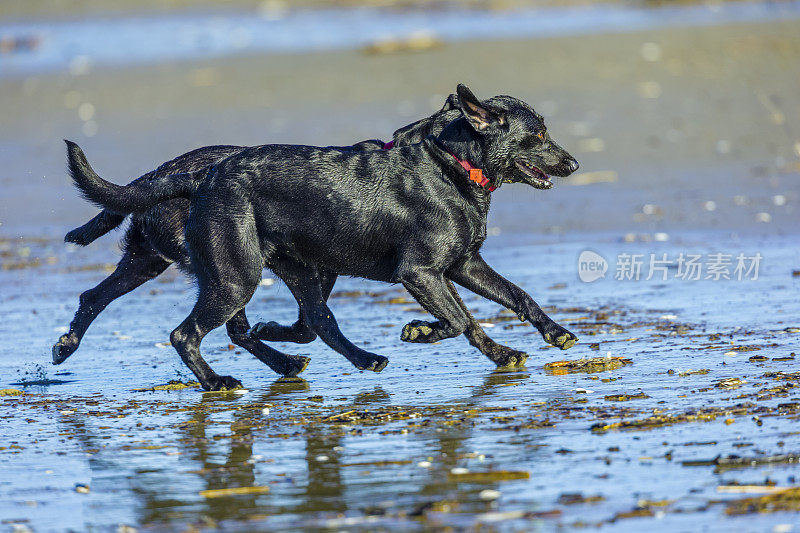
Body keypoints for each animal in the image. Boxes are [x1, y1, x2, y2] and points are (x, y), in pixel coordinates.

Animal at [64, 84, 576, 390]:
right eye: (539, 135)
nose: (572, 164)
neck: (452, 165)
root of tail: (200, 176)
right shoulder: (421, 273)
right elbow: (458, 319)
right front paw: (427, 332)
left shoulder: (464, 264)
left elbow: (514, 297)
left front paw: (547, 335)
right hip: (236, 275)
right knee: (187, 333)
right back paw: (218, 381)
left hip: (277, 269)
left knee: (309, 322)